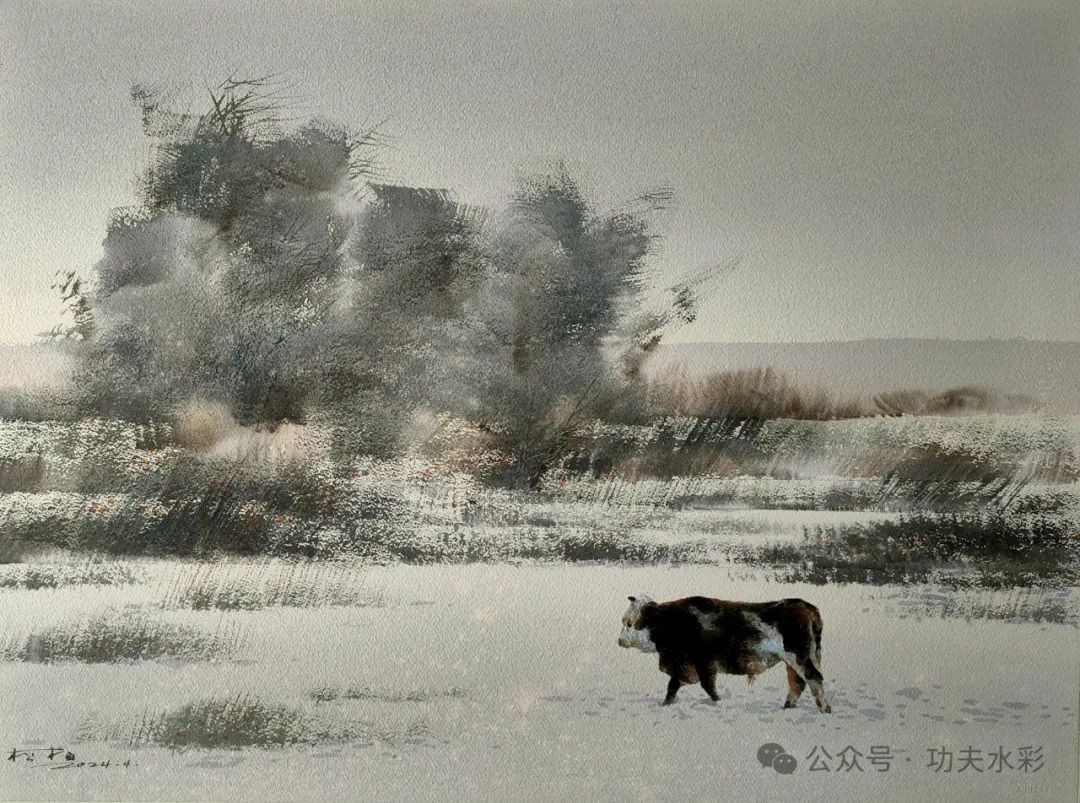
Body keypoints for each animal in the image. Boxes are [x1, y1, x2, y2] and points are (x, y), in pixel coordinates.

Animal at [622, 591, 829, 712]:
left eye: (630, 623)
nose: (620, 640)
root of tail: (808, 608)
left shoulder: (702, 663)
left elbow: (707, 686)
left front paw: (718, 701)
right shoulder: (684, 667)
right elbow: (672, 688)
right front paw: (665, 705)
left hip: (800, 657)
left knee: (814, 678)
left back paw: (824, 709)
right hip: (793, 661)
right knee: (798, 683)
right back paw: (787, 707)